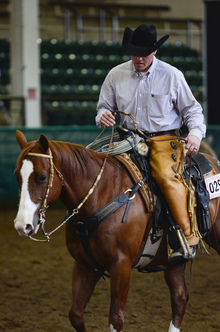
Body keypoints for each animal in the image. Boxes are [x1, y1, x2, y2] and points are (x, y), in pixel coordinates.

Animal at [14, 130, 220, 332]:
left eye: (42, 176)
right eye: (17, 176)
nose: (22, 225)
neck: (100, 195)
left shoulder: (121, 265)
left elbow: (116, 318)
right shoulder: (84, 264)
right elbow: (76, 315)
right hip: (172, 261)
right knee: (180, 297)